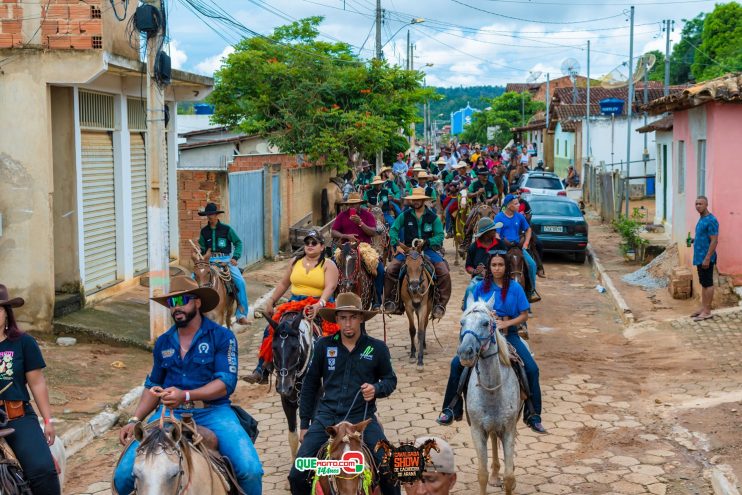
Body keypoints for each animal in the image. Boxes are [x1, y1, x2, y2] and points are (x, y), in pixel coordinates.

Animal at [402, 240, 436, 372]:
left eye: (421, 265)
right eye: (406, 265)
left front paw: (420, 361)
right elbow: (412, 329)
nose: (414, 286)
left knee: (425, 324)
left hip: (428, 306)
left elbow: (421, 331)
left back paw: (424, 346)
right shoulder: (408, 307)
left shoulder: (424, 307)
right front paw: (412, 355)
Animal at [460, 296, 524, 494]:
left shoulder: (509, 429)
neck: (492, 391)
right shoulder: (477, 430)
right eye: (462, 322)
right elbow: (482, 474)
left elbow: (509, 477)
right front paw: (491, 475)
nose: (465, 352)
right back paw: (495, 475)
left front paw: (510, 479)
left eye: (485, 323)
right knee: (494, 439)